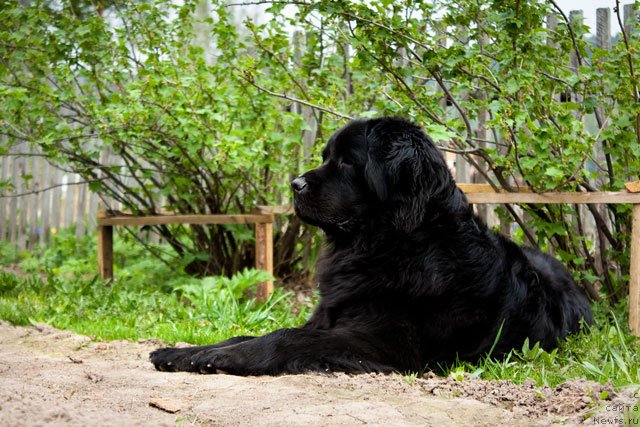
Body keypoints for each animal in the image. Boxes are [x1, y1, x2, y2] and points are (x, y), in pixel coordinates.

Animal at [149, 116, 592, 374]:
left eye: (347, 162)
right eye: (326, 156)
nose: (295, 183)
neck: (389, 241)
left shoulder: (385, 344)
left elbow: (286, 337)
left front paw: (221, 359)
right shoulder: (327, 316)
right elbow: (248, 333)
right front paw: (183, 352)